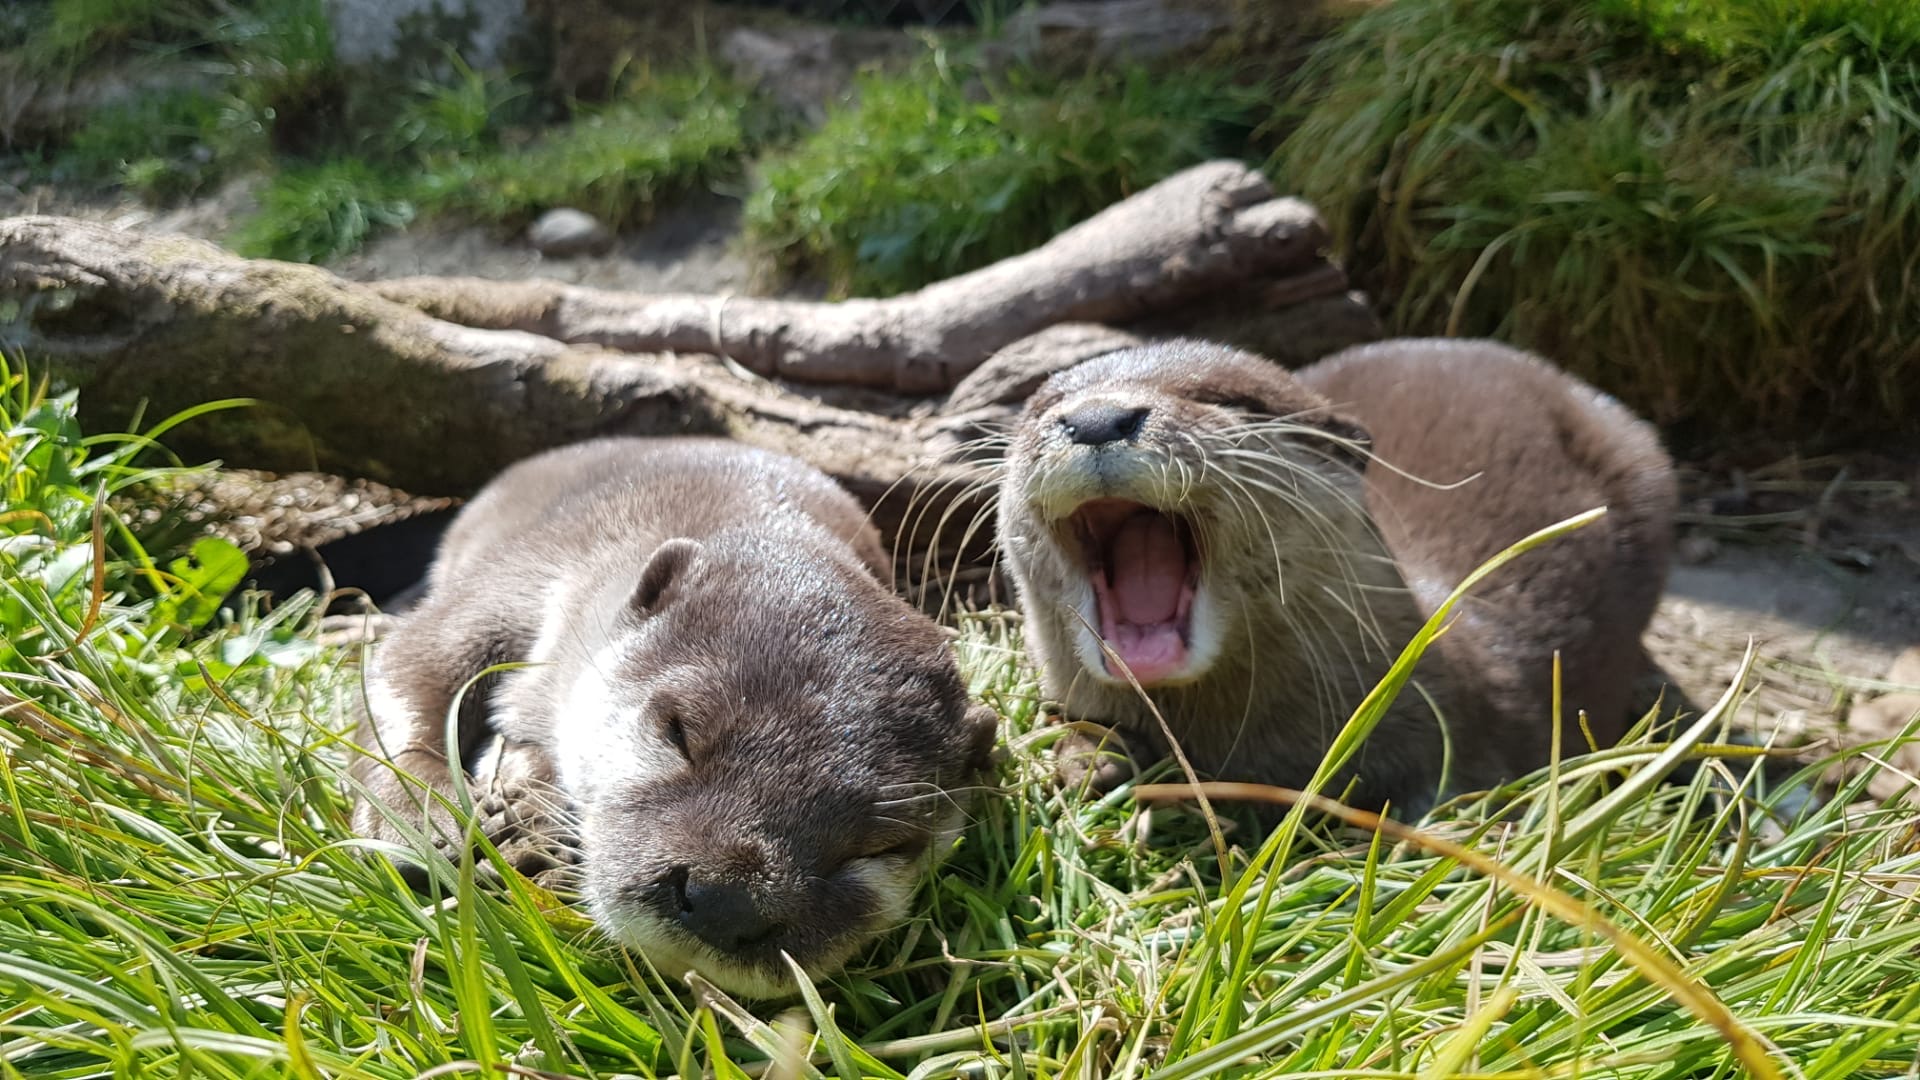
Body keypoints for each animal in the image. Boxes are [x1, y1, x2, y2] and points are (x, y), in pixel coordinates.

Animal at [350, 437, 997, 999]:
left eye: (881, 847)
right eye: (680, 732)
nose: (726, 902)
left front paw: (532, 824)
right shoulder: (528, 573)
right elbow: (409, 663)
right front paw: (416, 814)